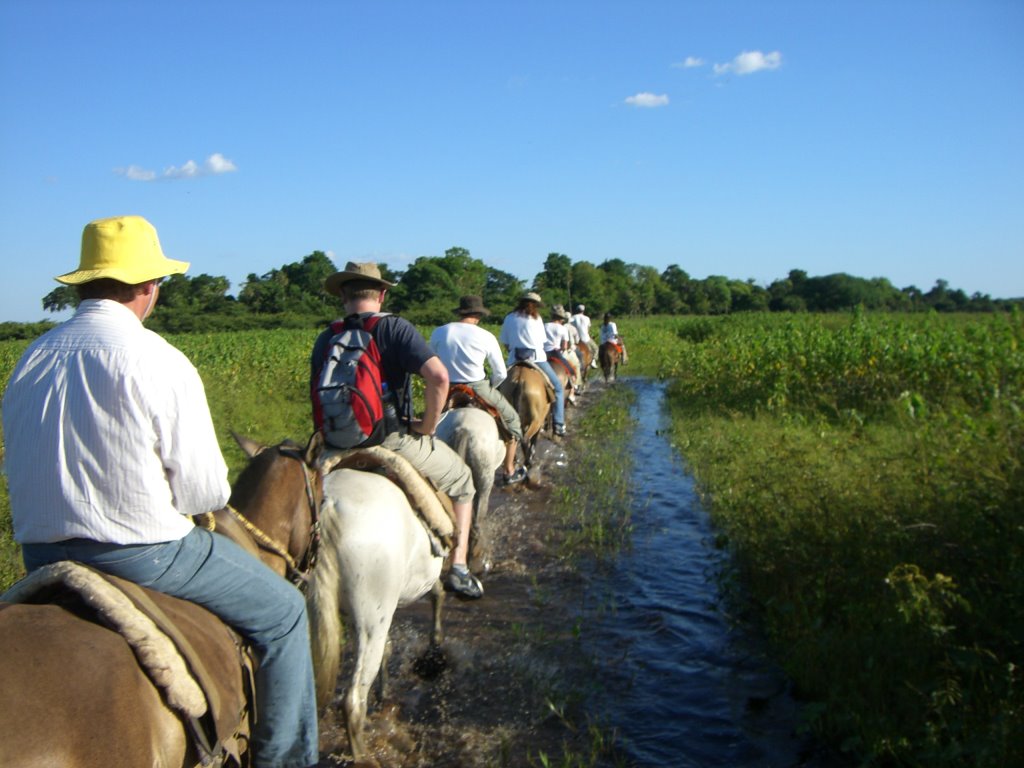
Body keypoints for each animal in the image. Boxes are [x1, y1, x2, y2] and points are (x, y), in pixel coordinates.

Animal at [305, 462, 446, 765]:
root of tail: (329, 506)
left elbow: (388, 650)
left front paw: (384, 692)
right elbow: (438, 593)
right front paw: (435, 649)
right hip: (371, 623)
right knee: (353, 701)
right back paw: (363, 756)